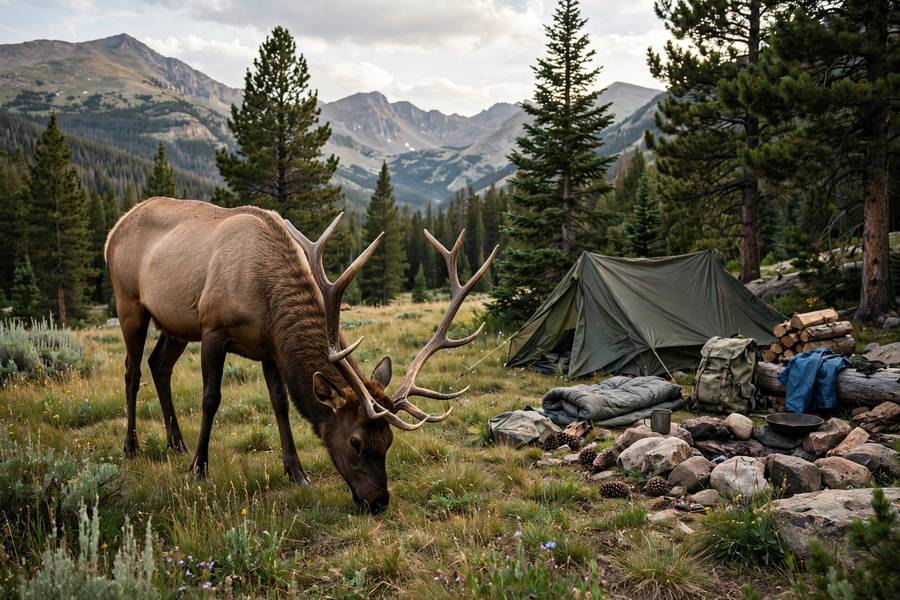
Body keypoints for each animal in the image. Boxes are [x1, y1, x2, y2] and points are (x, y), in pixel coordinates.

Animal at [105, 197, 497, 514]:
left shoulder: (268, 346)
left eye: (388, 441)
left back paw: (176, 443)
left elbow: (280, 403)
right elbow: (211, 398)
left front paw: (296, 472)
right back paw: (132, 446)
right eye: (355, 441)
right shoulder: (213, 329)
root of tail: (114, 229)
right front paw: (200, 468)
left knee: (159, 366)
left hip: (175, 324)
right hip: (130, 304)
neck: (266, 296)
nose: (378, 501)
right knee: (132, 371)